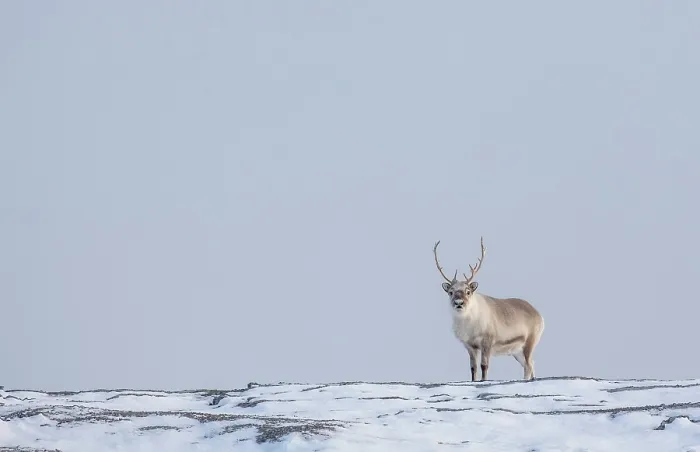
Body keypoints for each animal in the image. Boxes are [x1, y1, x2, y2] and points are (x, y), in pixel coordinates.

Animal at [433, 237, 544, 381]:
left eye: (468, 291)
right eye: (451, 292)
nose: (459, 303)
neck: (468, 326)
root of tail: (539, 315)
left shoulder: (488, 341)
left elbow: (484, 365)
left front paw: (483, 380)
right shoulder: (469, 345)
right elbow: (473, 368)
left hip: (530, 342)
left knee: (529, 365)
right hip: (516, 351)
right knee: (530, 364)